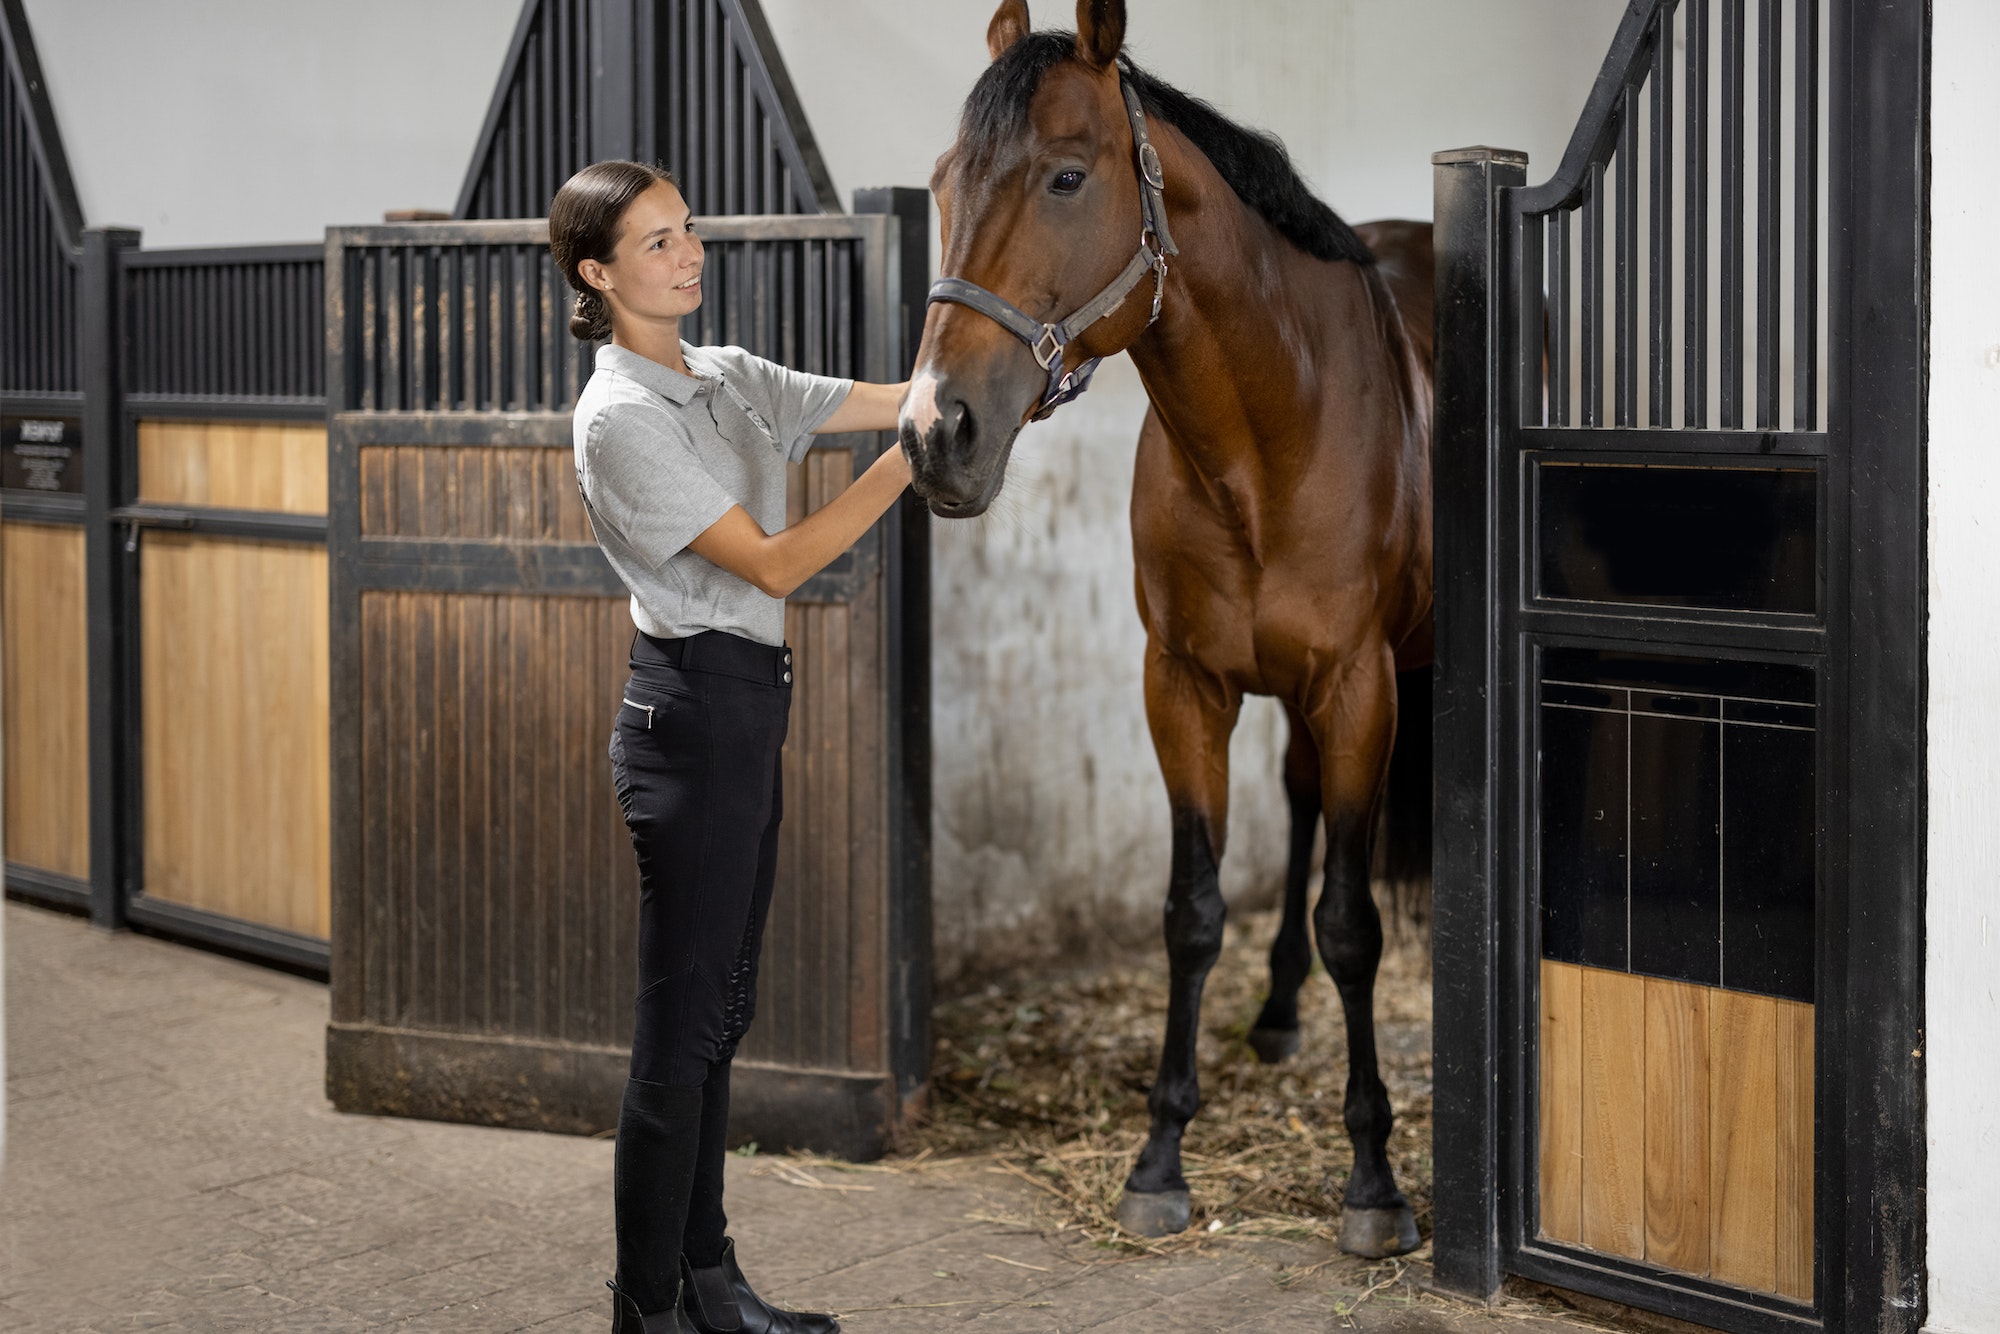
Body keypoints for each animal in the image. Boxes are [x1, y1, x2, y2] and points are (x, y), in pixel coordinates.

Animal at [904, 0, 1440, 1264]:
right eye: (943, 179)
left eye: (1064, 175)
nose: (936, 431)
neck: (1269, 432)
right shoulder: (1183, 684)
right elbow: (1191, 913)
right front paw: (1158, 1158)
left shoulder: (1360, 686)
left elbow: (1354, 920)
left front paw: (1372, 1180)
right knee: (1297, 802)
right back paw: (1280, 1009)